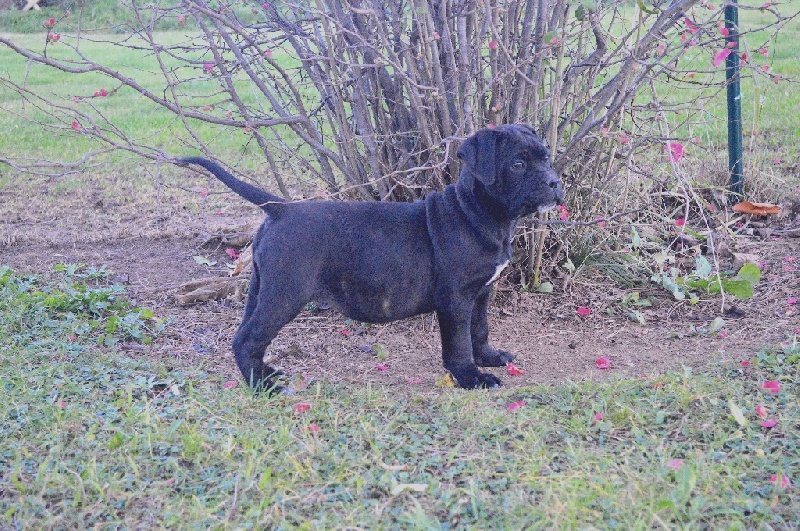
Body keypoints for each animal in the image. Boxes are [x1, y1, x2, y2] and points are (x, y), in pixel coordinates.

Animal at [180, 124, 563, 392]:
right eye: (518, 164)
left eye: (546, 157)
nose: (555, 182)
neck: (477, 212)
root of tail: (280, 209)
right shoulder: (456, 299)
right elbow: (458, 342)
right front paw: (471, 377)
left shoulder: (482, 292)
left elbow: (479, 329)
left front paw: (489, 358)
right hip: (285, 293)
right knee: (248, 339)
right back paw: (264, 388)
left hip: (262, 288)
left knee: (244, 336)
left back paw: (266, 374)